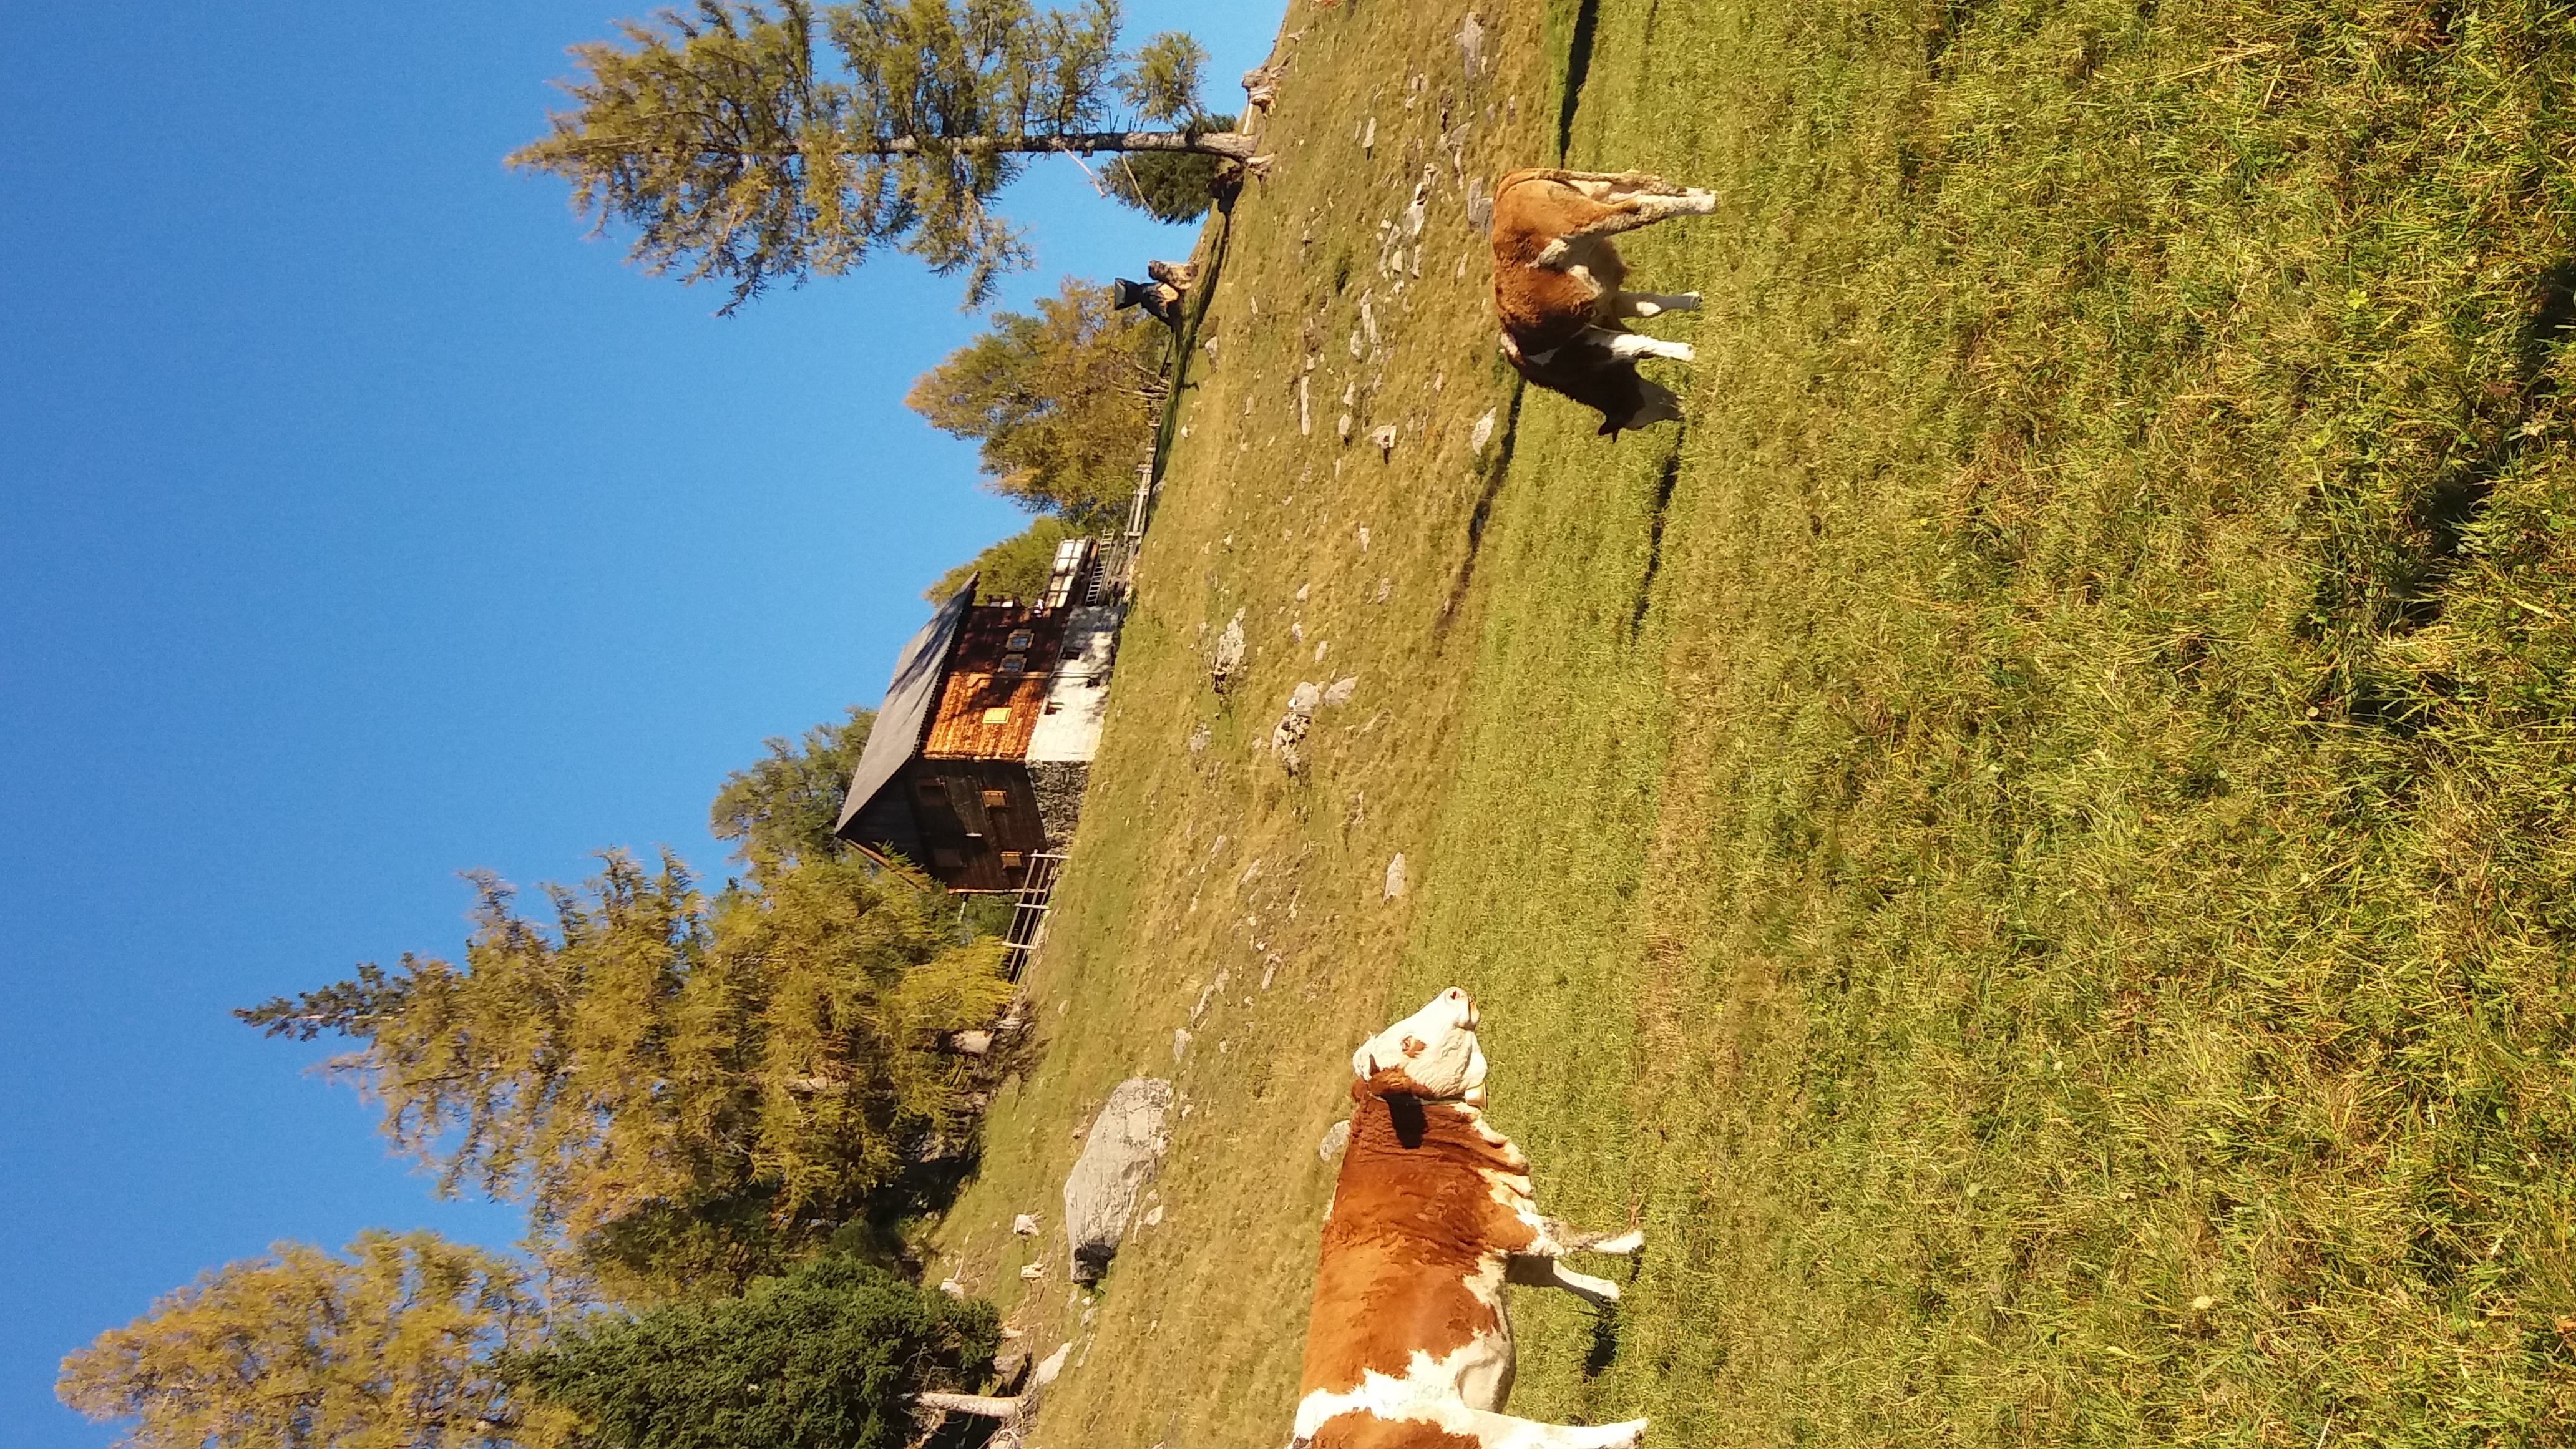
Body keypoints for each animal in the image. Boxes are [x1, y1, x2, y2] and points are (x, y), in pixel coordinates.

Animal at [1288, 988, 1648, 1449]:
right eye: (1408, 1043)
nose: (1453, 993)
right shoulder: (1496, 1220)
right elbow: (1563, 1233)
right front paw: (1632, 1239)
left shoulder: (1501, 1243)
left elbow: (1551, 1270)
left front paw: (1608, 1295)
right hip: (1465, 1425)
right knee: (1544, 1436)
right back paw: (1632, 1429)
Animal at [1491, 168, 1717, 436]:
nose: (1684, 413)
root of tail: (1507, 184)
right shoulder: (1607, 300)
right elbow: (1649, 307)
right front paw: (1693, 302)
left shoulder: (1585, 343)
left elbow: (1634, 346)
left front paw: (1689, 353)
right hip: (1598, 190)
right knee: (1646, 183)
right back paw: (1705, 194)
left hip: (1583, 221)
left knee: (1641, 207)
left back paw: (1710, 204)